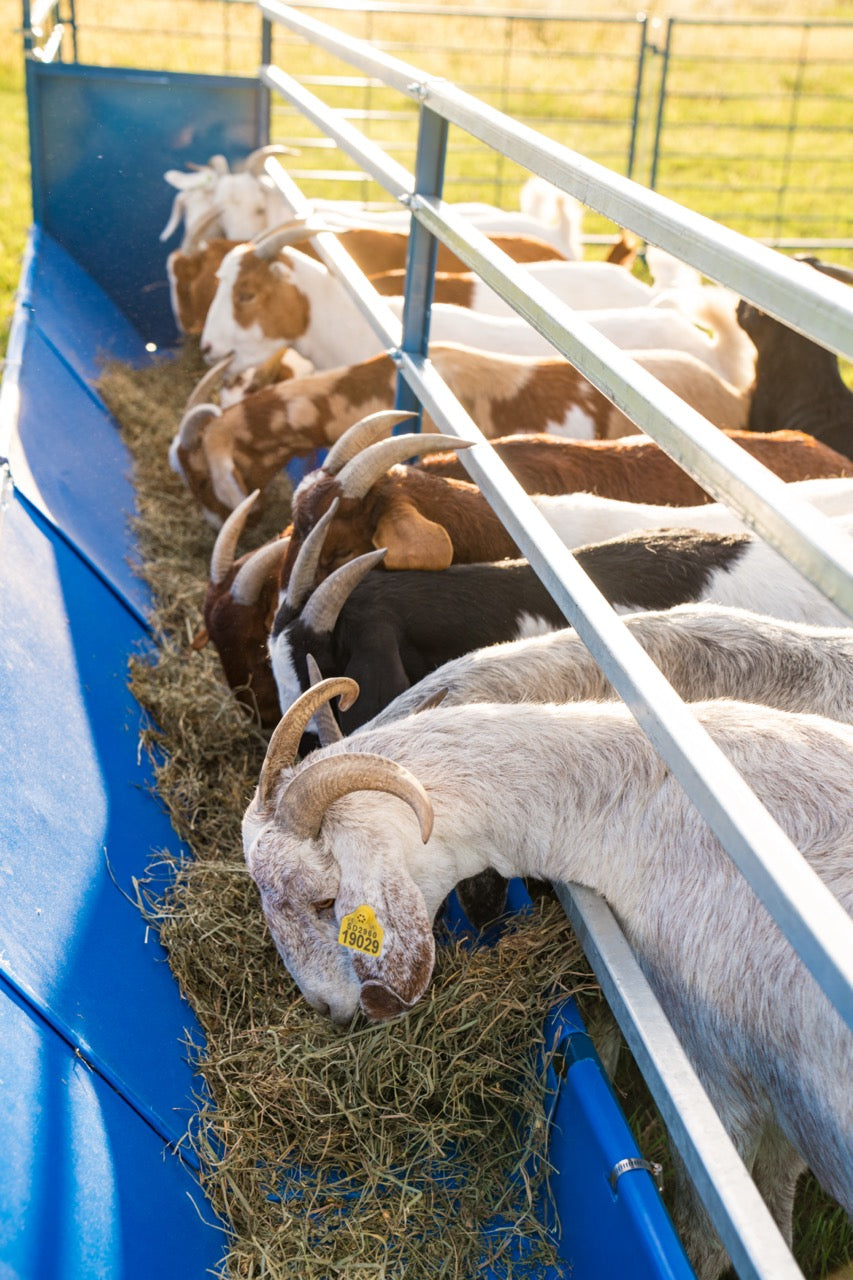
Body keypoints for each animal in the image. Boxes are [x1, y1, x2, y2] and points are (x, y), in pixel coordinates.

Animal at [242, 678, 853, 1280]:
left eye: (325, 901)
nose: (323, 1008)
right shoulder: (787, 1113)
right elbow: (778, 1198)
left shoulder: (717, 1089)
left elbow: (706, 1239)